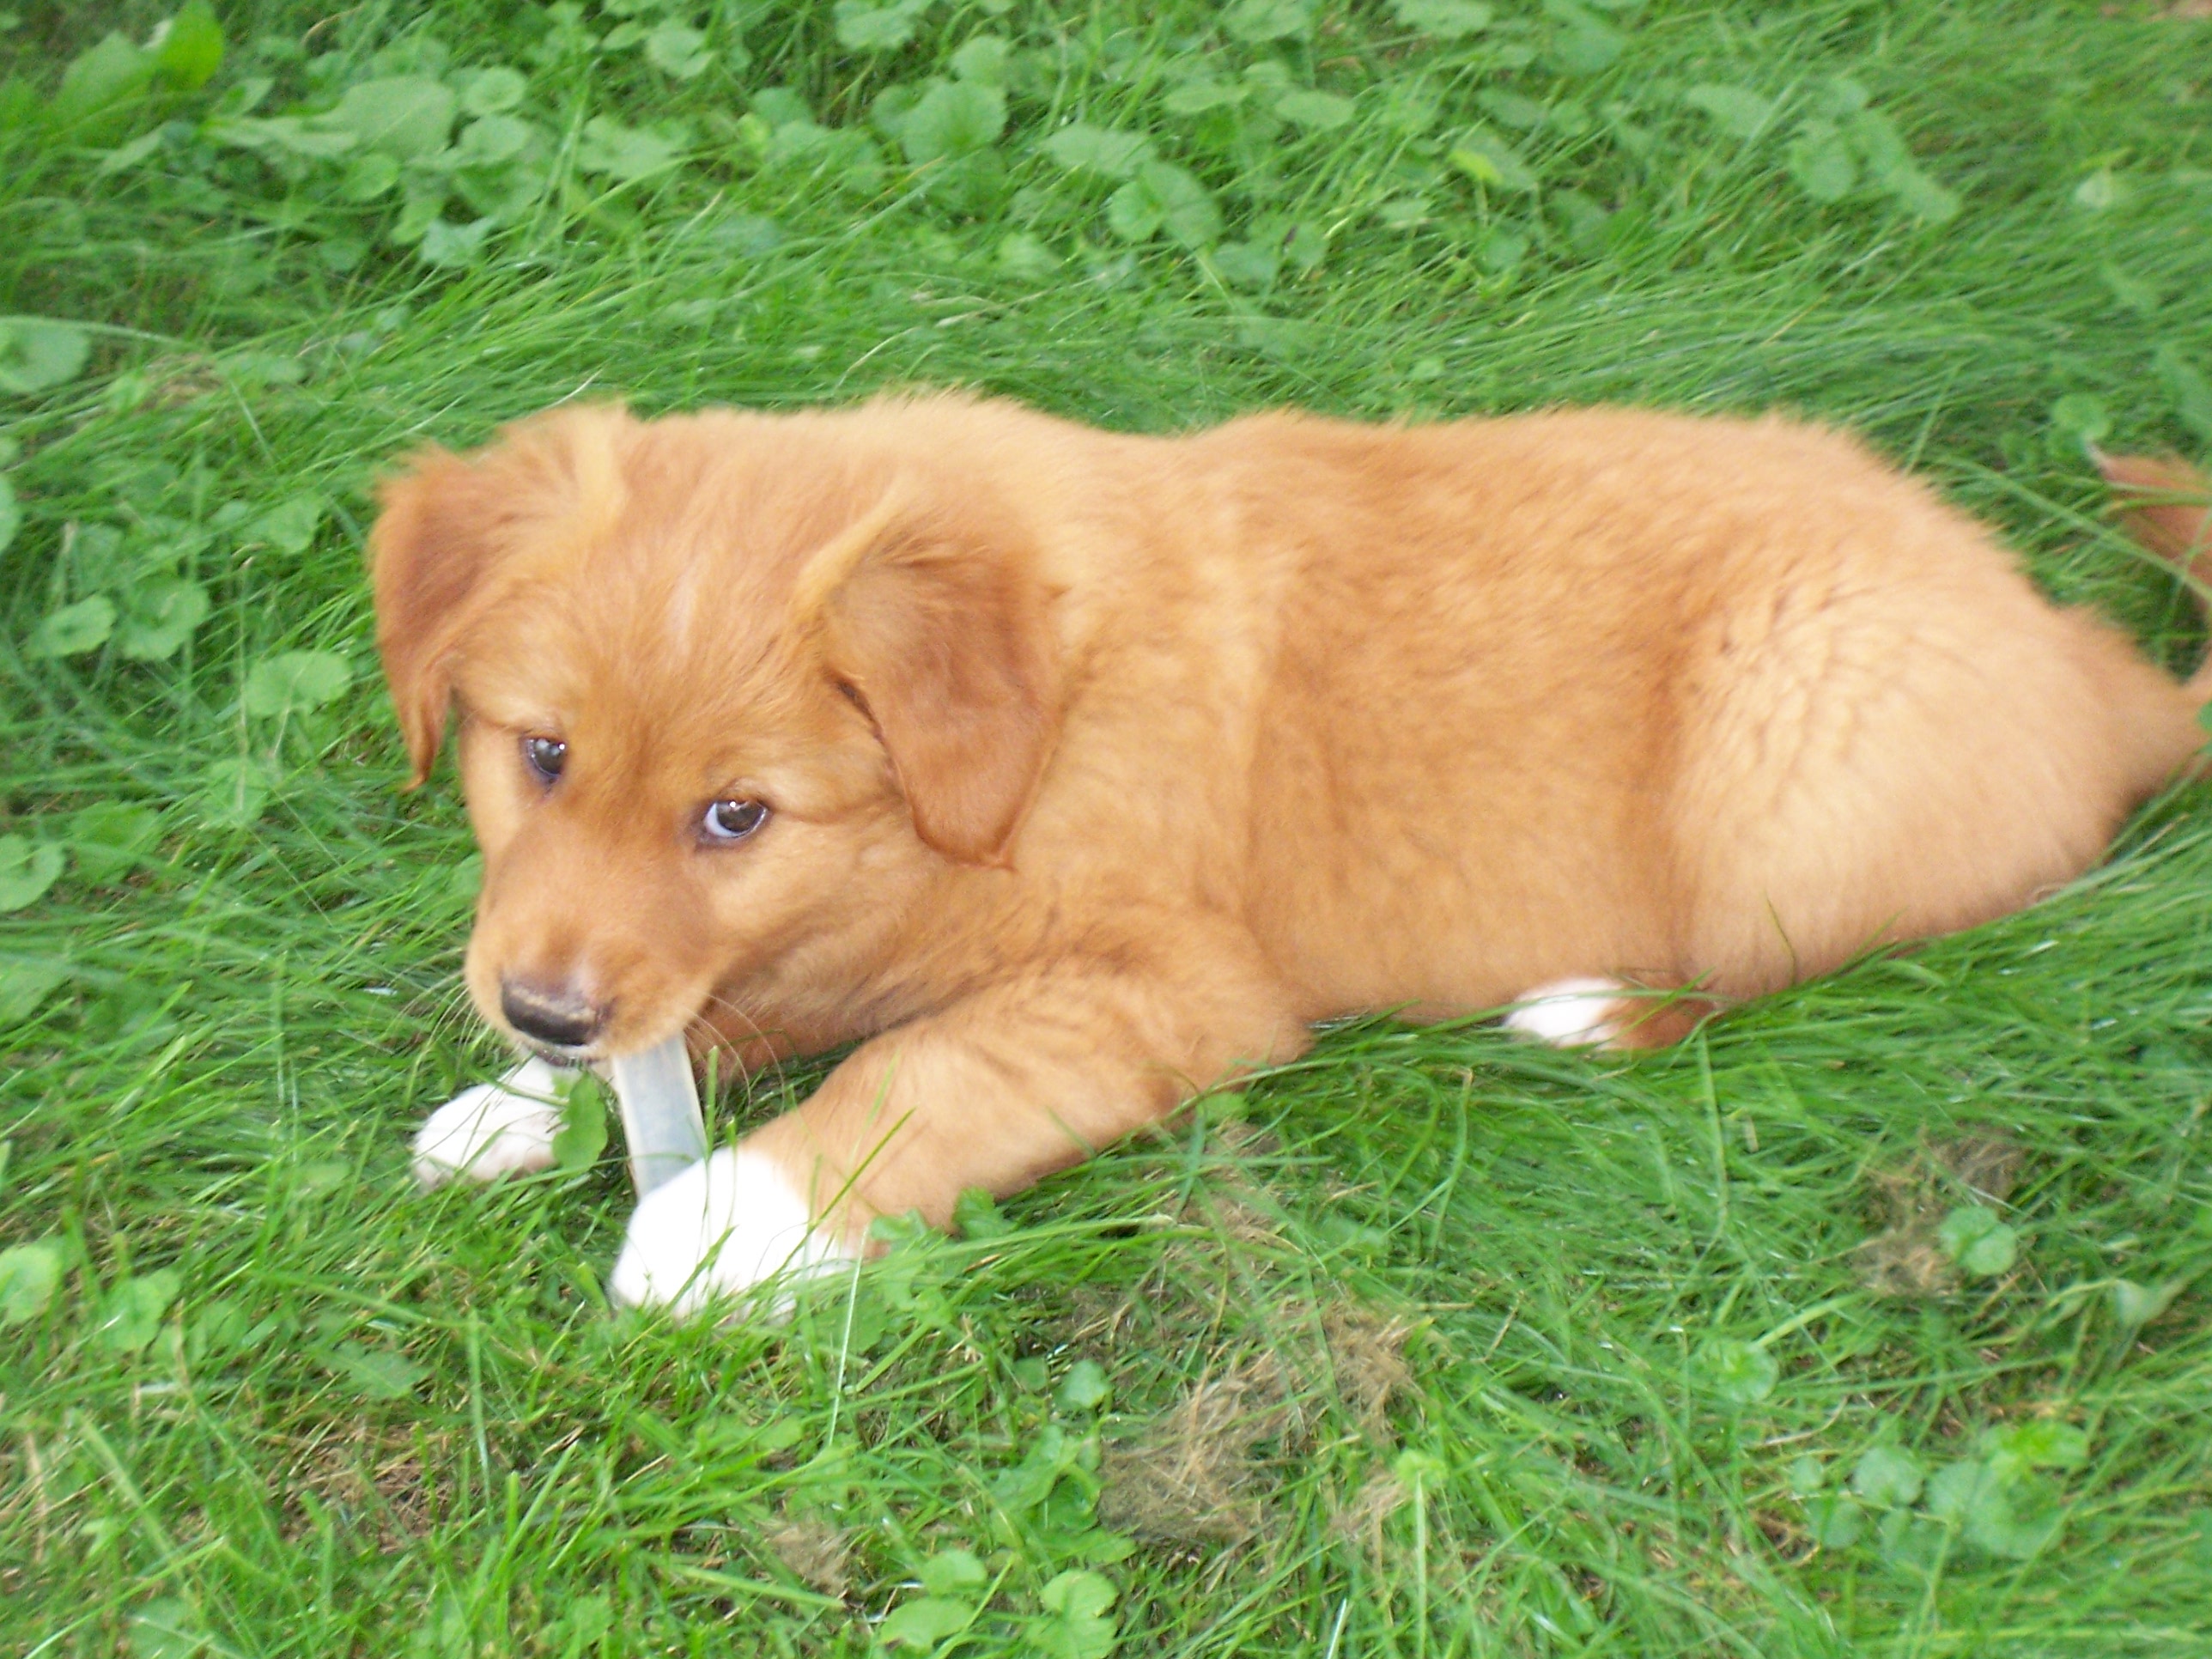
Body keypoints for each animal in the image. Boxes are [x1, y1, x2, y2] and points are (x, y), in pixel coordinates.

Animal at [371, 396, 2203, 1318]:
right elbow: (718, 1005)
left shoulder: (1176, 989)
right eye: (539, 757)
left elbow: (931, 1066)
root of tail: (2088, 664)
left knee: (1783, 970)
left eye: (734, 815)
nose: (539, 1012)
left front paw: (727, 1219)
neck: (1020, 743)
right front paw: (526, 1107)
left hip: (1792, 750)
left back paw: (1590, 1010)